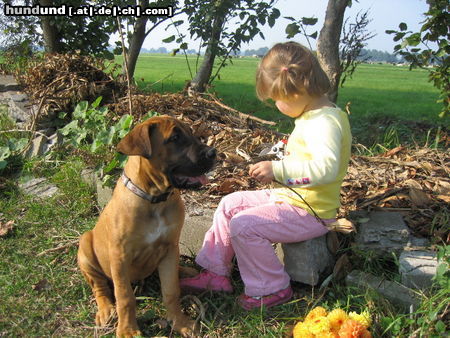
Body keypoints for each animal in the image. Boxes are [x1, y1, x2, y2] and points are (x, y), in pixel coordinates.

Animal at [78, 115, 216, 336]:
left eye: (192, 132)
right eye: (175, 138)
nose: (214, 153)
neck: (154, 199)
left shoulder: (170, 247)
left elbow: (171, 290)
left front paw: (180, 322)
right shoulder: (120, 257)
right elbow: (125, 296)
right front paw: (127, 330)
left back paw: (185, 270)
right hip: (85, 248)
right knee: (99, 286)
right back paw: (106, 309)